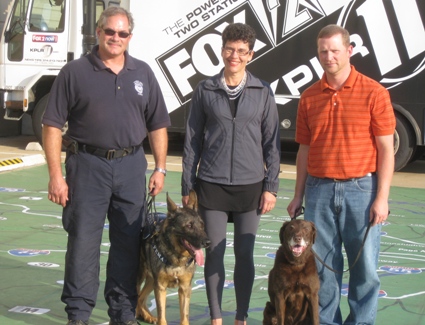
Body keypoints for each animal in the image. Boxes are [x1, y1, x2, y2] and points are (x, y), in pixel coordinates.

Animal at [136, 190, 209, 324]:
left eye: (202, 225)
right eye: (189, 225)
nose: (208, 242)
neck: (177, 259)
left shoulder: (184, 288)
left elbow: (184, 317)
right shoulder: (160, 288)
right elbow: (162, 316)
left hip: (151, 281)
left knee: (141, 298)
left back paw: (147, 316)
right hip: (140, 277)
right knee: (137, 296)